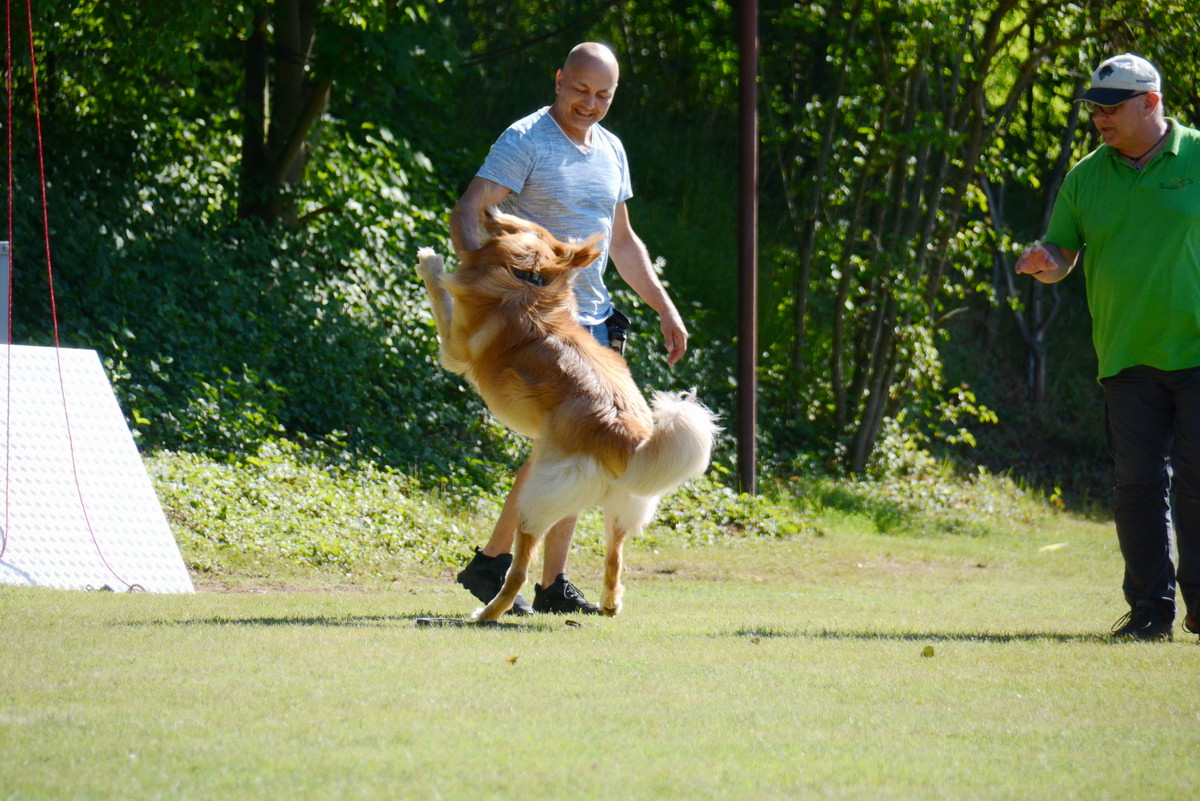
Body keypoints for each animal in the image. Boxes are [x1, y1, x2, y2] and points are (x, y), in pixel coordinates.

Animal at [417, 211, 715, 618]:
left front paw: (429, 260)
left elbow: (440, 294)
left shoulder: (454, 350)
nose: (489, 212)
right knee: (615, 559)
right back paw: (608, 603)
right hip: (621, 507)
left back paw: (488, 613)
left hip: (536, 500)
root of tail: (629, 440)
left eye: (516, 222)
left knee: (520, 572)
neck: (527, 279)